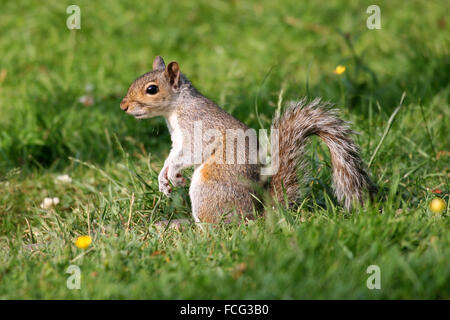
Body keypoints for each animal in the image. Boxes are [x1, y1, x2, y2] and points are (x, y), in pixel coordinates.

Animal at [119, 55, 376, 225]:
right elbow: (172, 154)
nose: (123, 106)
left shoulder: (198, 128)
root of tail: (255, 215)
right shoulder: (177, 139)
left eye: (152, 89)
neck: (176, 107)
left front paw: (172, 173)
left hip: (209, 186)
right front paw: (163, 178)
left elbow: (191, 152)